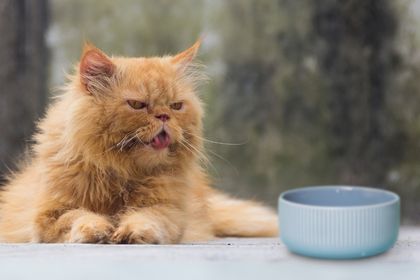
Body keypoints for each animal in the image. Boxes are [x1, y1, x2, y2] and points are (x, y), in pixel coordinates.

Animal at [0, 39, 278, 243]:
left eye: (176, 106)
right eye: (137, 105)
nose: (163, 115)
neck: (121, 171)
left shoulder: (168, 210)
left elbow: (147, 217)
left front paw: (132, 231)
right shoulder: (49, 216)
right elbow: (79, 217)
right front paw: (97, 230)